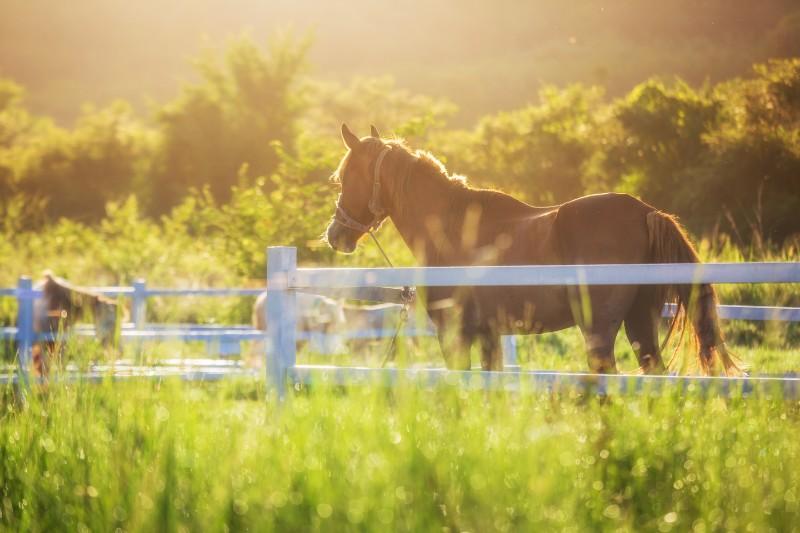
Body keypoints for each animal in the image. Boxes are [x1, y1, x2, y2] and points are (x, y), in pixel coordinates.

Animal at [324, 124, 736, 374]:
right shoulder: (489, 335)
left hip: (599, 330)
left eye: (344, 177)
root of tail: (645, 211)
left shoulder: (454, 335)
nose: (335, 235)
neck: (452, 226)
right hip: (640, 323)